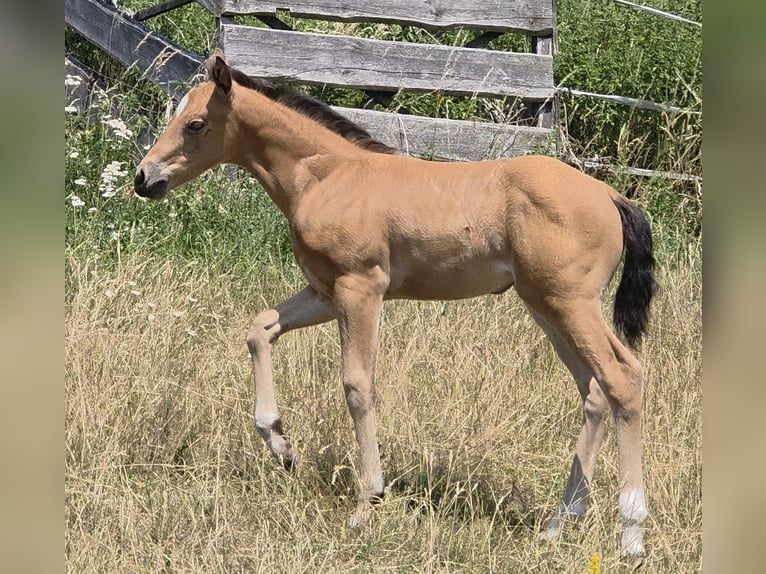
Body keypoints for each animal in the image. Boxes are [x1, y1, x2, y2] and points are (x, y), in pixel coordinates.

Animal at [135, 51, 656, 557]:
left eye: (196, 123)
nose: (144, 178)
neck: (327, 177)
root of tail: (611, 195)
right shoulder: (325, 292)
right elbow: (260, 328)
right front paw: (282, 446)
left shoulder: (360, 288)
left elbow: (357, 385)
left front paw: (368, 502)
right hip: (544, 305)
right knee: (593, 390)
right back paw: (558, 525)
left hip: (569, 302)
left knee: (623, 377)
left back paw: (630, 535)